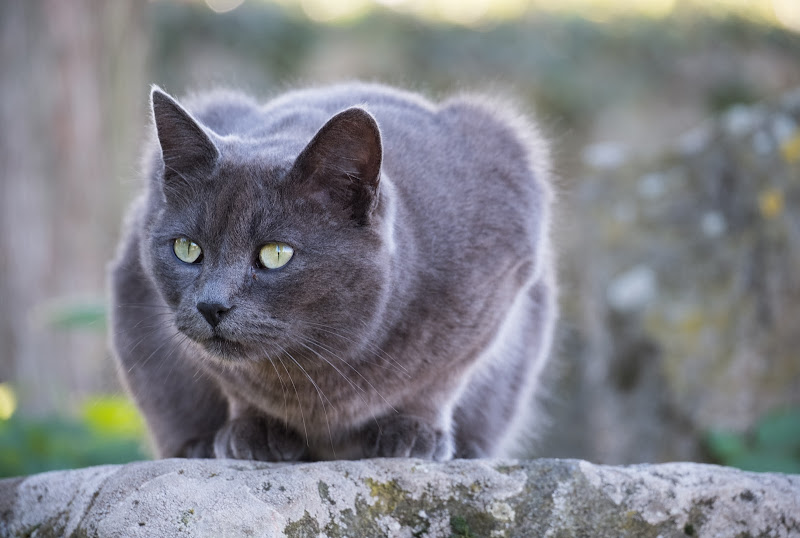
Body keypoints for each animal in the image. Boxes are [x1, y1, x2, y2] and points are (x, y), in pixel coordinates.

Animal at [109, 81, 560, 458]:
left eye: (276, 254)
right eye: (187, 249)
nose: (210, 305)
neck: (317, 373)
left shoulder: (497, 278)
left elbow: (441, 379)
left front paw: (413, 432)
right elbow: (232, 381)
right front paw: (255, 430)